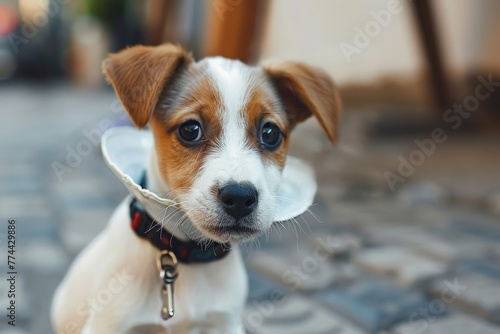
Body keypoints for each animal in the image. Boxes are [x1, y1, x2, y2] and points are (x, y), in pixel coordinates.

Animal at [49, 44, 340, 334]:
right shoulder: (108, 325)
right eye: (190, 129)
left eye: (270, 134)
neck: (185, 255)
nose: (239, 197)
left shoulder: (225, 323)